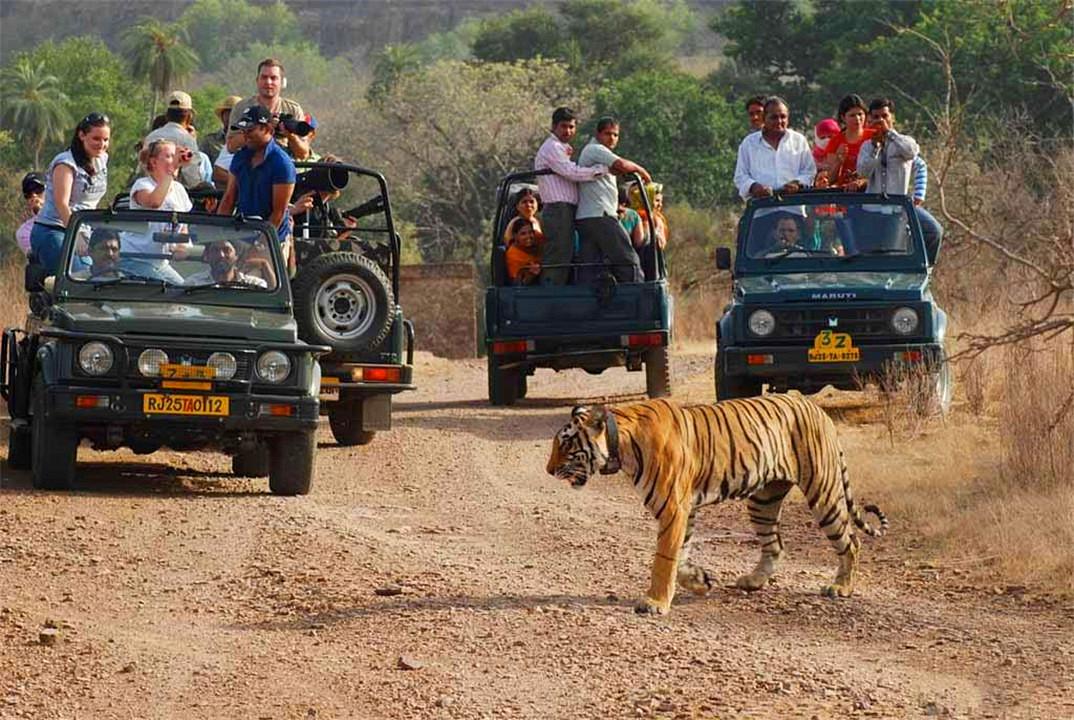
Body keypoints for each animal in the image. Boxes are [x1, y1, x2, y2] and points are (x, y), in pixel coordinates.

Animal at [545, 391, 889, 618]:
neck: (621, 444)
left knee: (851, 541)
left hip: (823, 491)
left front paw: (655, 602)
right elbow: (680, 557)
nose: (548, 470)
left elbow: (664, 558)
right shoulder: (684, 510)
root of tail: (815, 406)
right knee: (775, 545)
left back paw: (841, 587)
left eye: (566, 443)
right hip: (763, 500)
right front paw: (700, 581)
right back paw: (753, 581)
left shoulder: (674, 507)